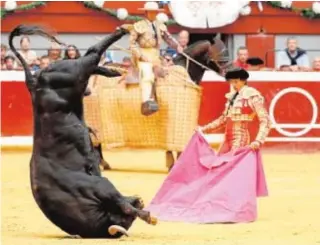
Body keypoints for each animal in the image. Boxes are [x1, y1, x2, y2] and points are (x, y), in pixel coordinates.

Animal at [10, 25, 158, 239]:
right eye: (126, 221)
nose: (138, 199)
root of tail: (35, 81)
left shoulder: (102, 188)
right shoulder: (102, 186)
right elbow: (124, 204)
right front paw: (147, 215)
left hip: (75, 73)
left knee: (93, 57)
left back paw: (119, 55)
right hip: (77, 73)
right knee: (92, 55)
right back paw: (124, 33)